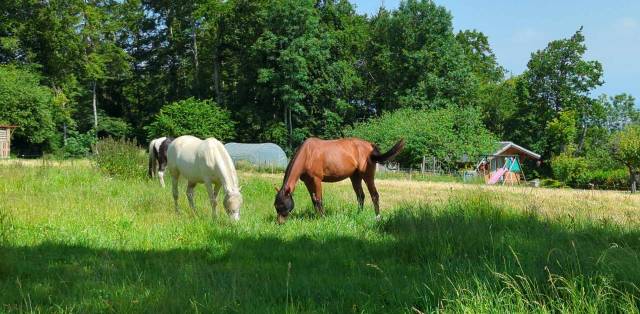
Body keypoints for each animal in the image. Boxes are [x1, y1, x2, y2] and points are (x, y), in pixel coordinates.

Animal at [274, 137, 404, 223]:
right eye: (276, 205)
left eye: (282, 205)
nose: (280, 223)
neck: (308, 154)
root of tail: (371, 146)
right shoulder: (307, 182)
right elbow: (314, 200)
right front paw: (317, 216)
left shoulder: (316, 180)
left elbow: (319, 199)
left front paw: (322, 218)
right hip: (355, 177)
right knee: (360, 196)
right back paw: (358, 214)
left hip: (367, 176)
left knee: (374, 195)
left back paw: (377, 217)